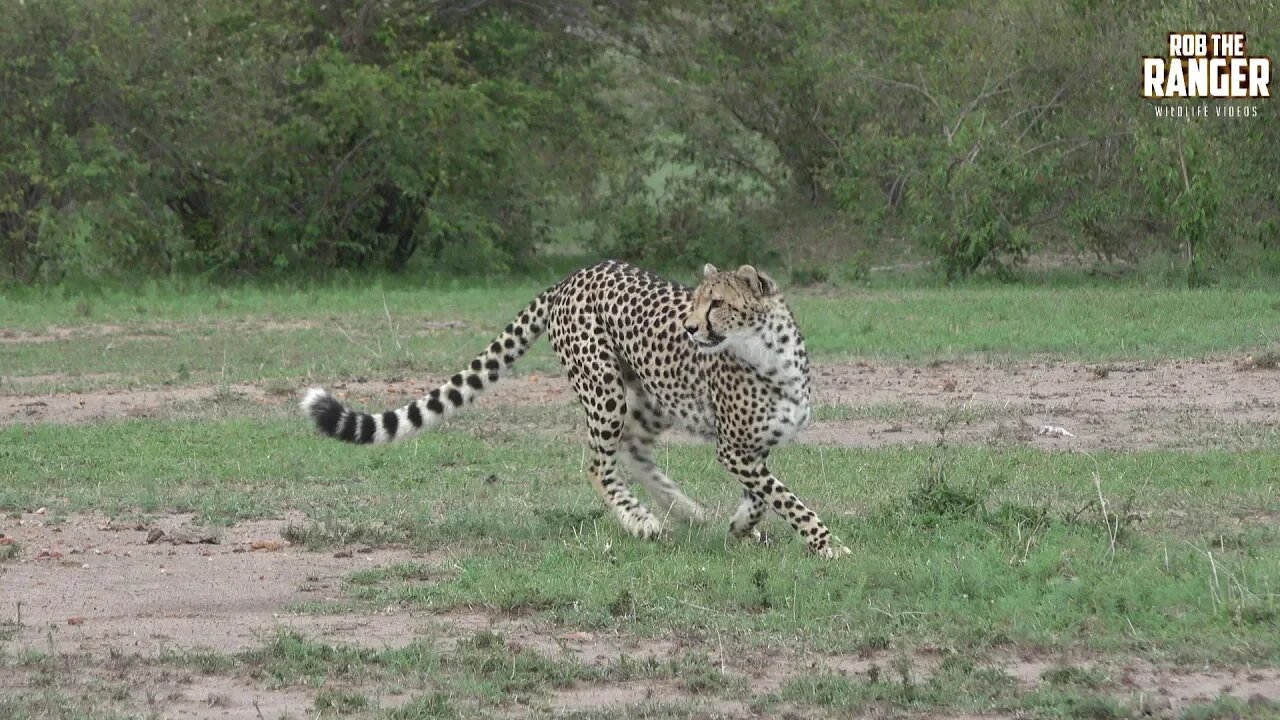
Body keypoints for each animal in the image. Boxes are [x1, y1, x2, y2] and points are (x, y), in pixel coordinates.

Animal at [302, 260, 849, 558]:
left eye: (716, 304)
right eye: (696, 302)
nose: (692, 328)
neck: (769, 351)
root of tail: (572, 276)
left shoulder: (750, 447)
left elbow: (762, 494)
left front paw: (740, 525)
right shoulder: (735, 449)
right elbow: (785, 498)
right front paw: (827, 545)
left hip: (651, 393)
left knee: (632, 447)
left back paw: (683, 509)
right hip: (604, 387)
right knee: (597, 462)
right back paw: (640, 520)